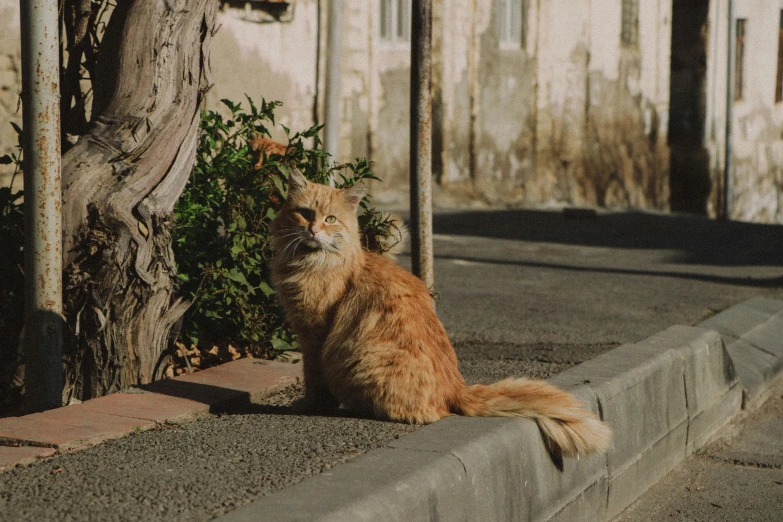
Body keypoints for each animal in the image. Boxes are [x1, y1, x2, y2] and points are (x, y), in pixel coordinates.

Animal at [270, 169, 612, 458]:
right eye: (305, 213)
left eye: (330, 218)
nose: (313, 229)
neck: (309, 262)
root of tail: (457, 389)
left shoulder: (314, 334)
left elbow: (313, 376)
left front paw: (310, 404)